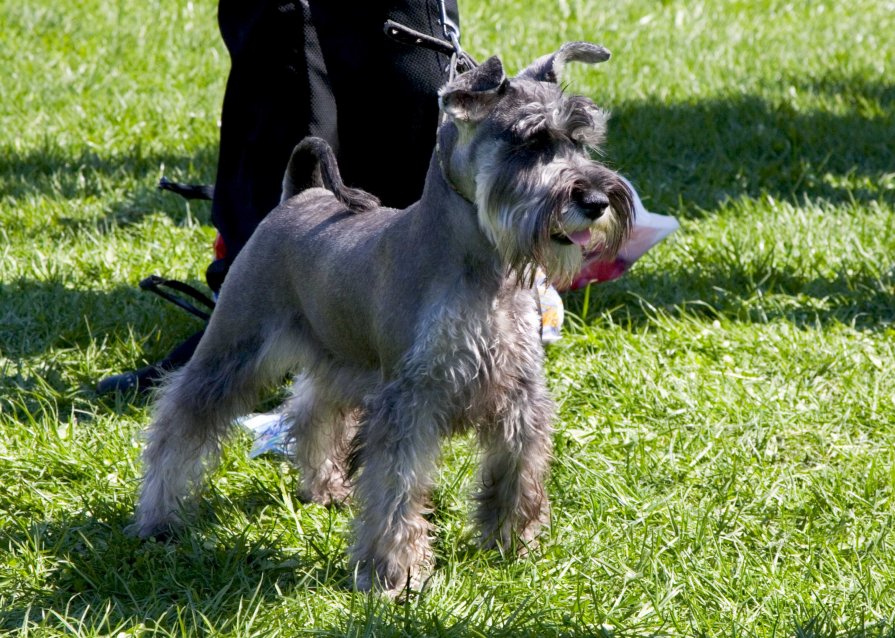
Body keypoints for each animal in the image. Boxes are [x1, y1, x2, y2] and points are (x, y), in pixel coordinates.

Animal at [130, 42, 636, 596]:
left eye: (580, 139)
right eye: (530, 140)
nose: (596, 200)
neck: (483, 270)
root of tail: (299, 196)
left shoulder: (520, 395)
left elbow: (517, 471)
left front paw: (513, 544)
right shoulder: (408, 403)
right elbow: (397, 490)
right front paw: (397, 574)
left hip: (336, 356)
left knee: (311, 411)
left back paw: (323, 488)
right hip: (232, 347)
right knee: (179, 421)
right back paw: (157, 518)